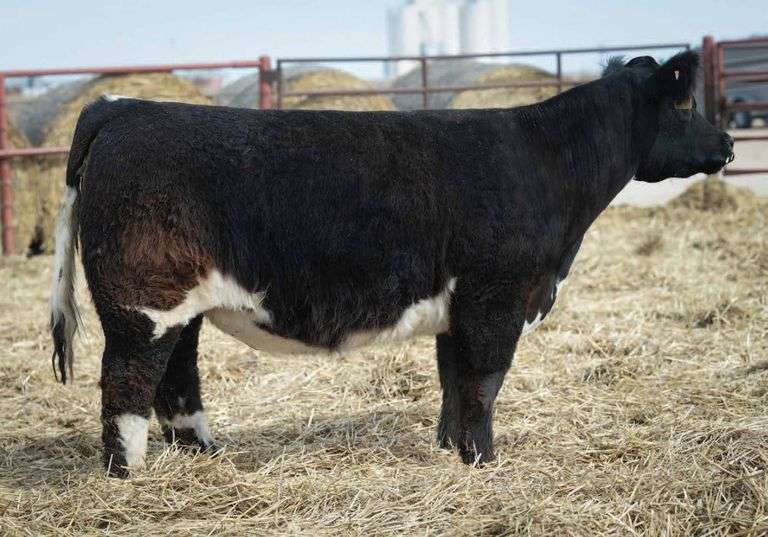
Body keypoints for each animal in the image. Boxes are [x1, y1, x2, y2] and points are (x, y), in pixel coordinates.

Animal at [49, 51, 733, 477]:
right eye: (682, 106)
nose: (728, 144)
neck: (545, 160)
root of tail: (123, 106)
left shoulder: (458, 304)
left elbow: (454, 381)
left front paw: (451, 449)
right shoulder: (497, 295)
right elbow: (485, 382)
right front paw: (484, 461)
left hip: (182, 304)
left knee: (176, 375)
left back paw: (203, 455)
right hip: (142, 303)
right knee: (125, 383)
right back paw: (128, 475)